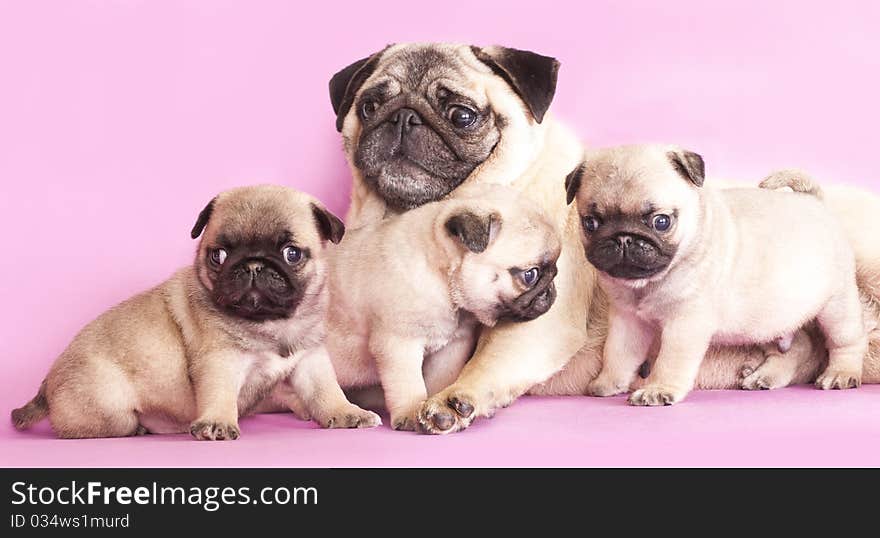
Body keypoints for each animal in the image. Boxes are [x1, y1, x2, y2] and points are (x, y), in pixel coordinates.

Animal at [10, 186, 380, 438]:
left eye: (292, 253)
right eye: (219, 255)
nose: (253, 265)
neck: (270, 325)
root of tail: (47, 384)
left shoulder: (310, 360)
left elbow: (326, 391)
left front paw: (347, 412)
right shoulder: (220, 361)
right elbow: (219, 393)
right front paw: (217, 423)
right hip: (111, 408)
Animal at [326, 184, 560, 432]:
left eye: (554, 268)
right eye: (530, 275)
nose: (551, 289)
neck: (441, 277)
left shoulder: (451, 348)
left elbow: (441, 380)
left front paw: (437, 406)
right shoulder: (399, 344)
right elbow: (407, 383)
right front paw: (411, 414)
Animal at [564, 144, 868, 404]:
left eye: (661, 221)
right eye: (590, 223)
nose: (623, 239)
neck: (648, 284)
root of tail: (815, 202)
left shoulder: (684, 324)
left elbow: (669, 361)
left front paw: (658, 389)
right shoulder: (627, 320)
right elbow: (618, 353)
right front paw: (609, 382)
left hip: (836, 306)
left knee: (847, 341)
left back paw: (841, 374)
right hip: (768, 319)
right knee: (798, 346)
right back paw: (765, 377)